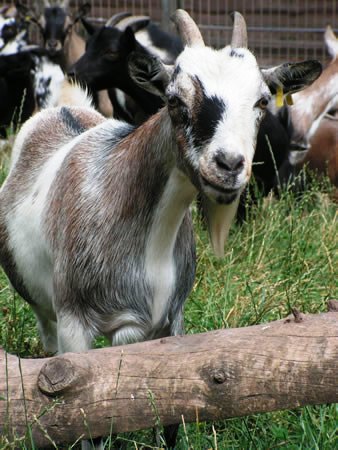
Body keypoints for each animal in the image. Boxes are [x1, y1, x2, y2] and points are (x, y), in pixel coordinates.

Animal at [0, 9, 322, 446]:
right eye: (173, 99)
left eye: (261, 101)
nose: (229, 164)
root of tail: (62, 108)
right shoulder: (75, 327)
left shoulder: (171, 320)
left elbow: (171, 415)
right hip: (44, 308)